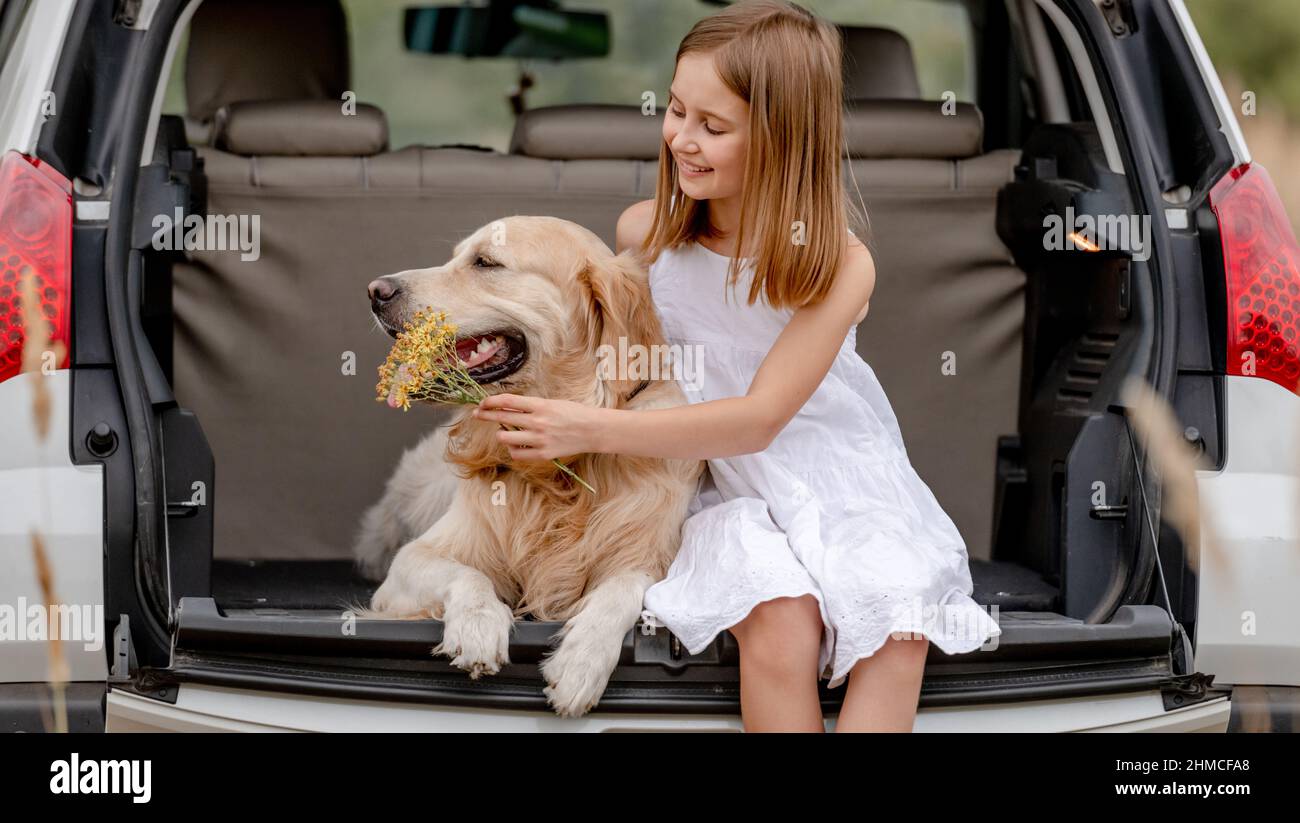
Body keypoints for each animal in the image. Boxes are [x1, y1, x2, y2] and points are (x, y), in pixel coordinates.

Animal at [353, 214, 702, 717]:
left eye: (485, 262)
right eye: (455, 257)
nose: (375, 290)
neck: (559, 471)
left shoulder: (653, 556)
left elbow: (623, 589)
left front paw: (582, 660)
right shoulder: (410, 565)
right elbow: (467, 572)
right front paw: (478, 625)